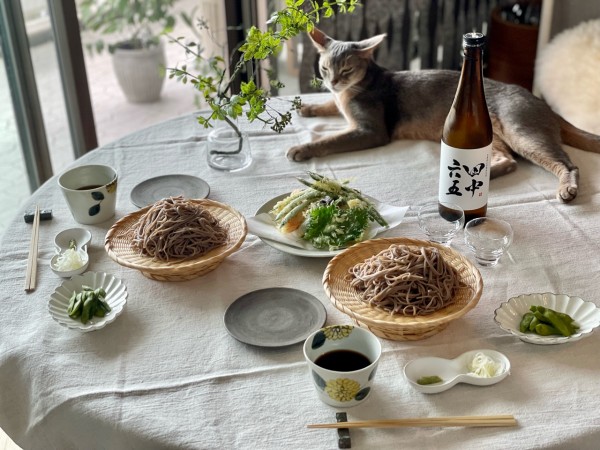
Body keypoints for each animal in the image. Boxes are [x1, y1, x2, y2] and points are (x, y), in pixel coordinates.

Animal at [288, 28, 600, 202]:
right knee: (509, 162)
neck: (356, 88)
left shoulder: (371, 130)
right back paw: (478, 180)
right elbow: (329, 106)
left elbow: (331, 139)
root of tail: (541, 102)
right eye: (325, 68)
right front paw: (307, 108)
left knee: (567, 164)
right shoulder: (340, 104)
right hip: (489, 137)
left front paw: (302, 149)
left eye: (346, 70)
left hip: (522, 132)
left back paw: (568, 189)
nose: (332, 82)